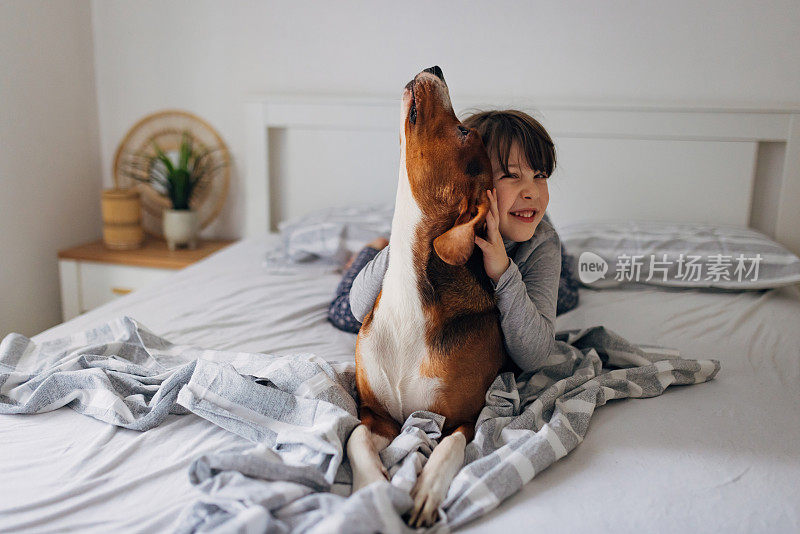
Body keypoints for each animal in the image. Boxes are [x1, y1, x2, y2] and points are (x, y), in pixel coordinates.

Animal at [346, 66, 506, 528]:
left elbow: (451, 447)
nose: (436, 69)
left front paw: (427, 490)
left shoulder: (463, 418)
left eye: (464, 130)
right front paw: (370, 489)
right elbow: (354, 438)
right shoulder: (376, 416)